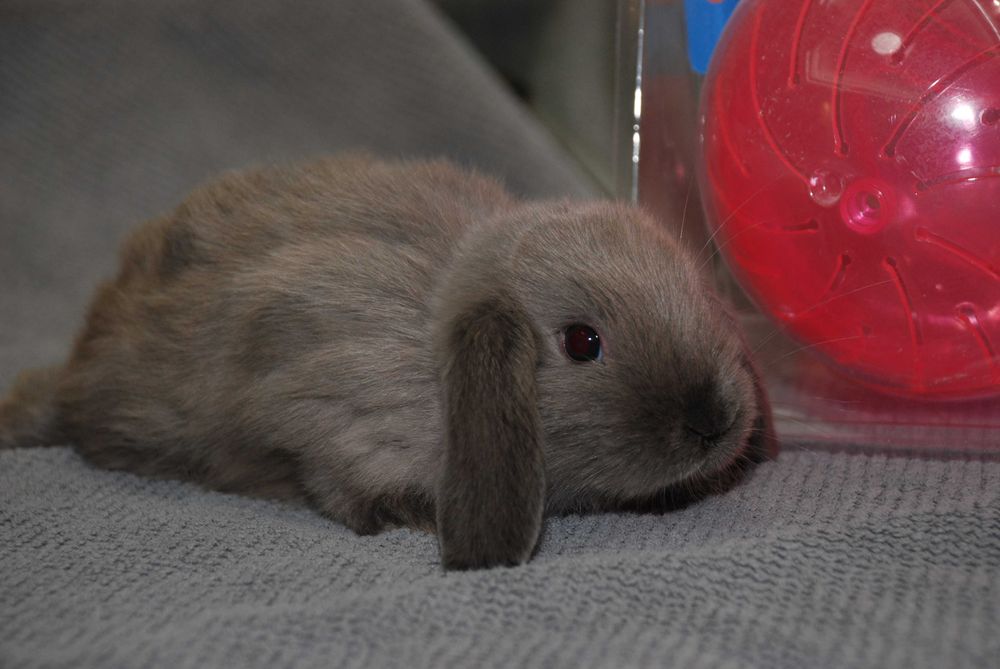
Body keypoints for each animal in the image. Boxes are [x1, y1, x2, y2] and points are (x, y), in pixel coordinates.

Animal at [0, 154, 776, 570]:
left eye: (697, 292)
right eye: (583, 342)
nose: (714, 422)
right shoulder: (320, 417)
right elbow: (339, 484)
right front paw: (410, 515)